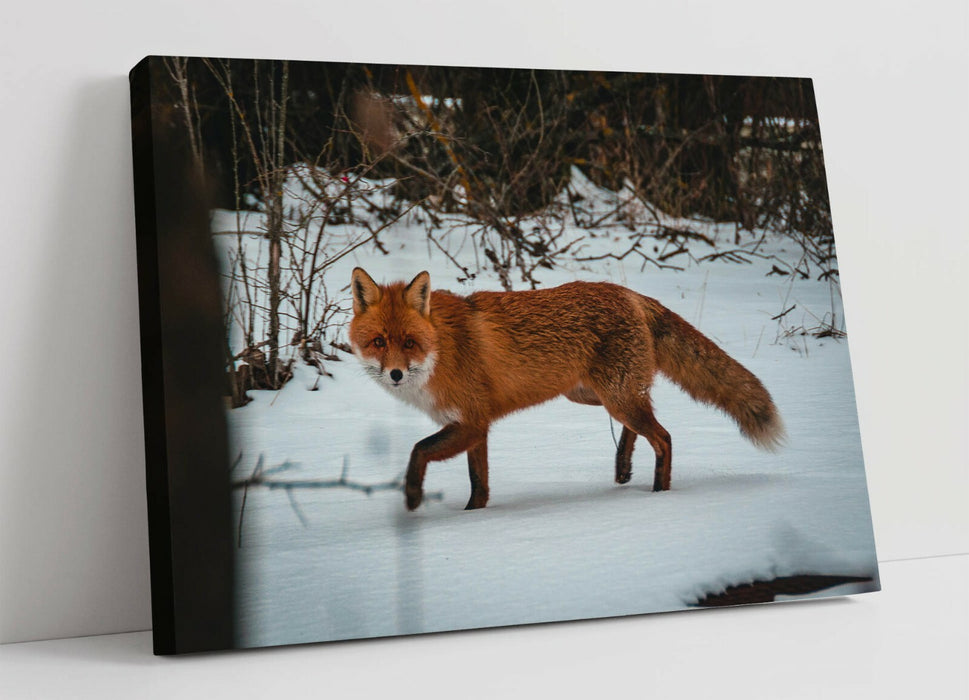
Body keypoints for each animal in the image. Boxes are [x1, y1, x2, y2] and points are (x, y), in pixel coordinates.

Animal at [348, 267, 784, 511]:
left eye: (409, 343)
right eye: (378, 342)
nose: (395, 375)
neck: (441, 347)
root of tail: (629, 293)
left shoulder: (470, 421)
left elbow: (417, 450)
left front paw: (412, 497)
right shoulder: (476, 426)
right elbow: (479, 483)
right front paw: (476, 514)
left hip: (614, 395)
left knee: (663, 437)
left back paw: (658, 494)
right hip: (594, 394)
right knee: (642, 425)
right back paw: (623, 467)